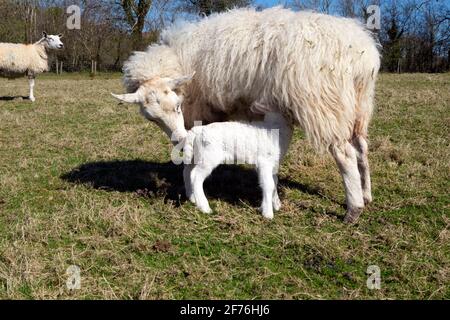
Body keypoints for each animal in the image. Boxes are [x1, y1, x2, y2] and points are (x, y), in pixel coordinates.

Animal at [117, 6, 380, 224]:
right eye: (151, 118)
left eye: (177, 106)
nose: (177, 138)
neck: (180, 57)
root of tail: (363, 52)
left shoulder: (202, 113)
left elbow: (189, 164)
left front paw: (192, 195)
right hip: (359, 106)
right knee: (361, 148)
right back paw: (367, 195)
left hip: (325, 105)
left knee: (345, 154)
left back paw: (353, 209)